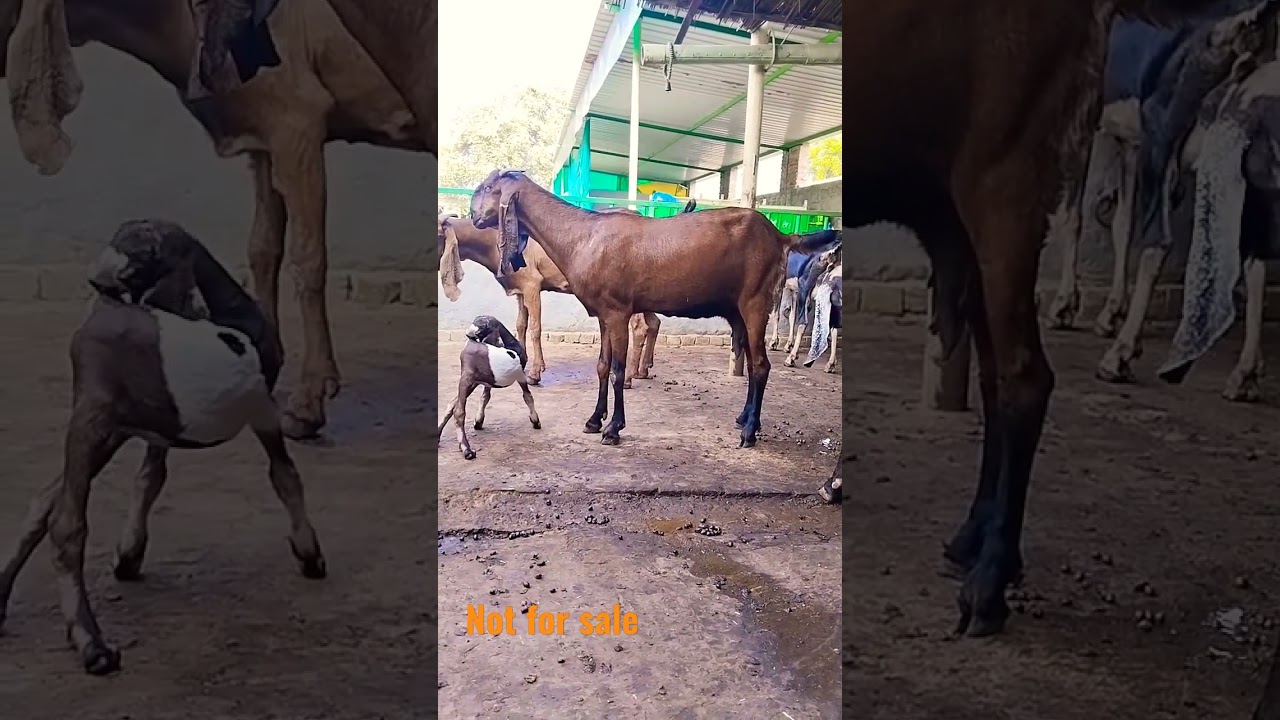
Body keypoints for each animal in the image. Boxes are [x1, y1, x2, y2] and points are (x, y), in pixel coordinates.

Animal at [0, 219, 325, 675]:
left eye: (142, 251)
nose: (101, 279)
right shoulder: (262, 409)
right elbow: (285, 475)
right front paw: (309, 554)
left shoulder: (150, 430)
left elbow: (149, 477)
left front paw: (129, 555)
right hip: (95, 417)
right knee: (66, 524)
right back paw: (93, 645)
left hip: (103, 428)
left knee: (44, 504)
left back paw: (3, 605)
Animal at [437, 315, 541, 460]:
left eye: (482, 327)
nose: (470, 334)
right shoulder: (520, 375)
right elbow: (528, 396)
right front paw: (535, 421)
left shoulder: (484, 382)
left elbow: (485, 397)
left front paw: (478, 421)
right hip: (468, 378)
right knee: (459, 411)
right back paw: (467, 450)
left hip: (470, 381)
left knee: (452, 405)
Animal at [439, 200, 698, 388]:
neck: (492, 242)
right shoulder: (520, 290)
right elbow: (521, 324)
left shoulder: (532, 285)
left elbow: (535, 328)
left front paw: (535, 373)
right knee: (654, 323)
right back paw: (642, 370)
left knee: (641, 327)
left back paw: (629, 377)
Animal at [469, 169, 837, 448]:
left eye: (487, 187)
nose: (472, 215)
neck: (583, 236)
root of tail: (780, 236)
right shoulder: (604, 314)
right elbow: (602, 366)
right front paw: (594, 420)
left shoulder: (618, 311)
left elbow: (618, 371)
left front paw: (613, 429)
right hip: (739, 309)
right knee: (749, 357)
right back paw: (744, 419)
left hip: (755, 302)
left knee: (760, 365)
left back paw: (749, 432)